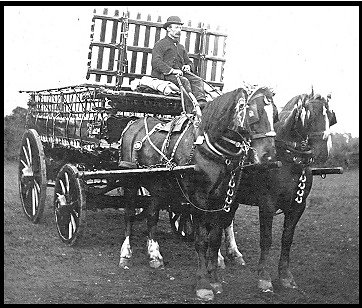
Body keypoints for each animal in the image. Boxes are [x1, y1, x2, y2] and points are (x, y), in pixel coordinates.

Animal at [117, 85, 278, 300]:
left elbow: (215, 239)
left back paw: (154, 255)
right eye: (252, 113)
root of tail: (133, 123)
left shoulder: (221, 199)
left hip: (158, 184)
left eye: (275, 114)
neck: (208, 148)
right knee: (128, 214)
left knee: (152, 214)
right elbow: (201, 240)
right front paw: (203, 284)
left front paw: (215, 279)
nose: (268, 156)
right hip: (131, 181)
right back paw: (125, 254)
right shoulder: (198, 199)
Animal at [221, 91, 336, 292]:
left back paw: (234, 254)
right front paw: (264, 277)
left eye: (330, 115)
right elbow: (266, 239)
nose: (324, 151)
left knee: (227, 221)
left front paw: (285, 276)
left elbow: (287, 239)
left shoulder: (298, 206)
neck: (289, 161)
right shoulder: (267, 204)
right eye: (309, 114)